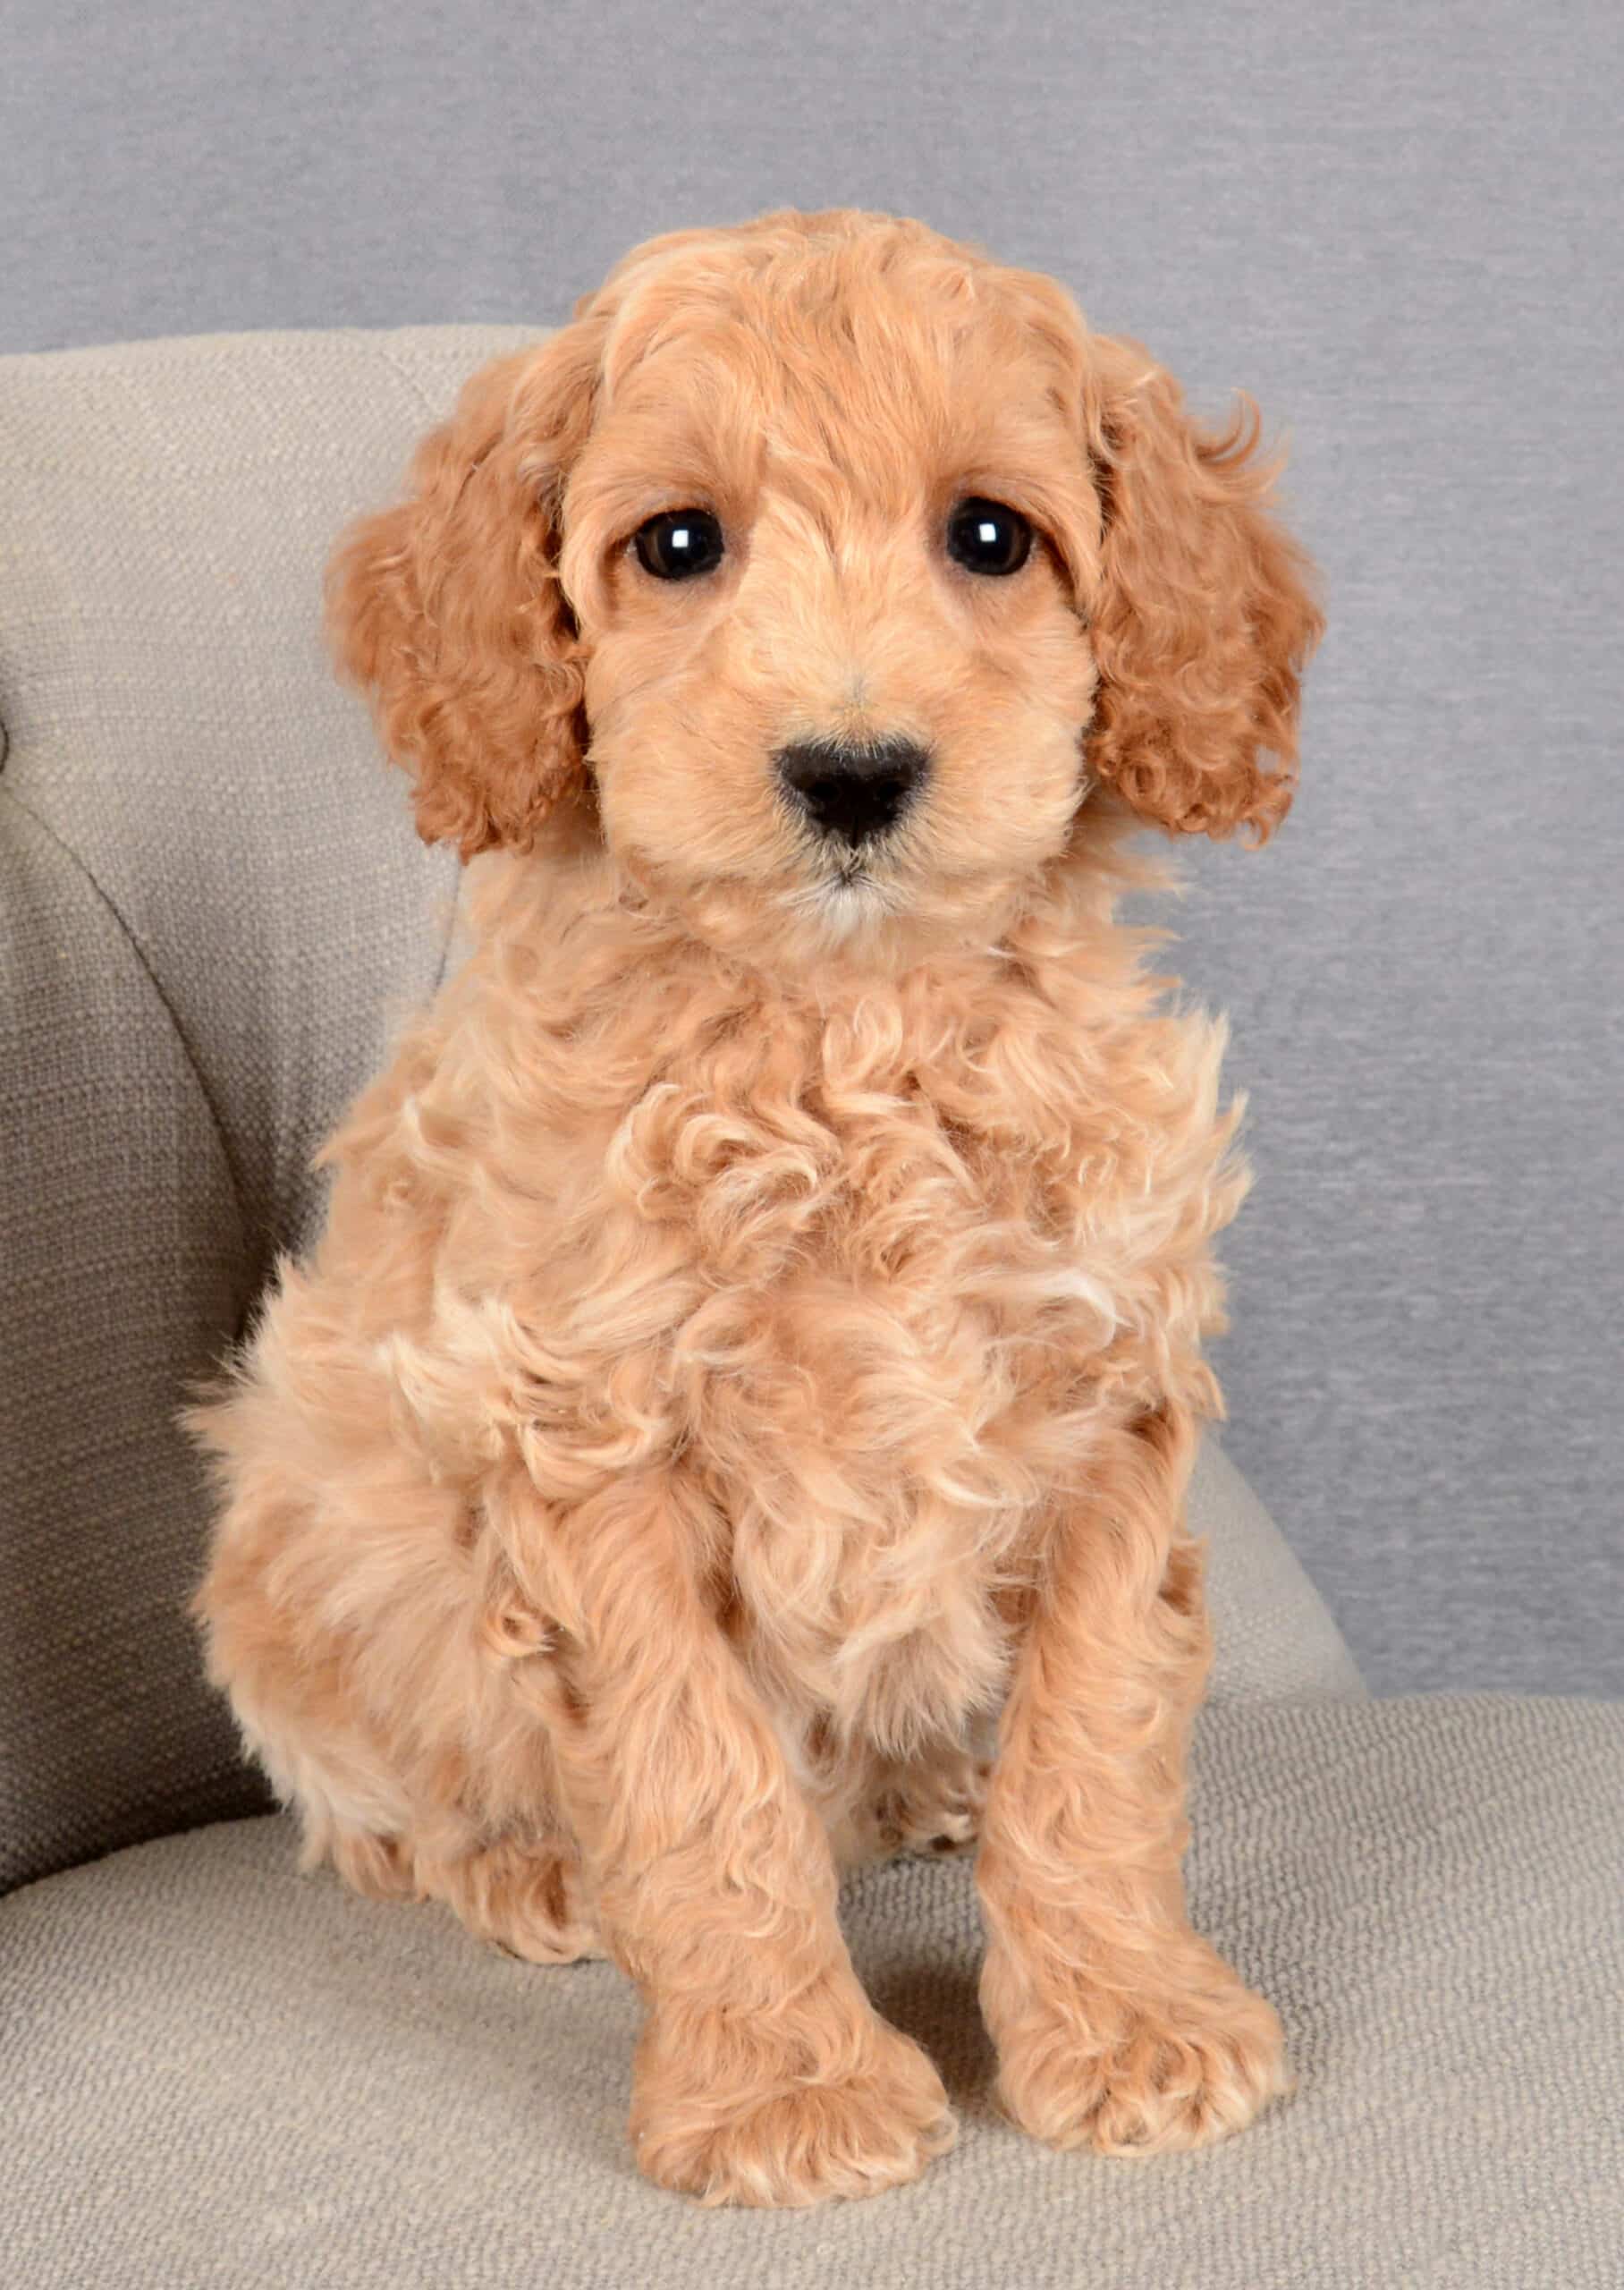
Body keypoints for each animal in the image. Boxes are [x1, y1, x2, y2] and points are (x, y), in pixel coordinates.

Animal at [187, 205, 1323, 2208]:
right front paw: (782, 2089)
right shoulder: (590, 1437)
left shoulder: (1105, 1396)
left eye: (989, 536)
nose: (850, 773)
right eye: (675, 545)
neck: (845, 1031)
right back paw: (523, 1866)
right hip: (298, 1547)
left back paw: (923, 1785)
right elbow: (693, 1777)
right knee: (370, 1805)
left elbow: (1095, 1746)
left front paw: (1126, 2022)